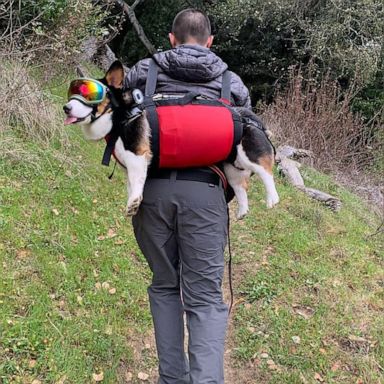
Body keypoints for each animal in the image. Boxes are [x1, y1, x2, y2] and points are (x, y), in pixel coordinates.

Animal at [63, 60, 280, 219]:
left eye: (91, 95)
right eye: (73, 93)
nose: (66, 107)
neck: (120, 115)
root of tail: (253, 121)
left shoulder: (138, 156)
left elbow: (136, 183)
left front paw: (133, 202)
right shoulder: (131, 165)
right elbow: (133, 184)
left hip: (250, 155)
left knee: (267, 173)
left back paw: (271, 198)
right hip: (232, 168)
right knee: (241, 187)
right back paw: (242, 211)